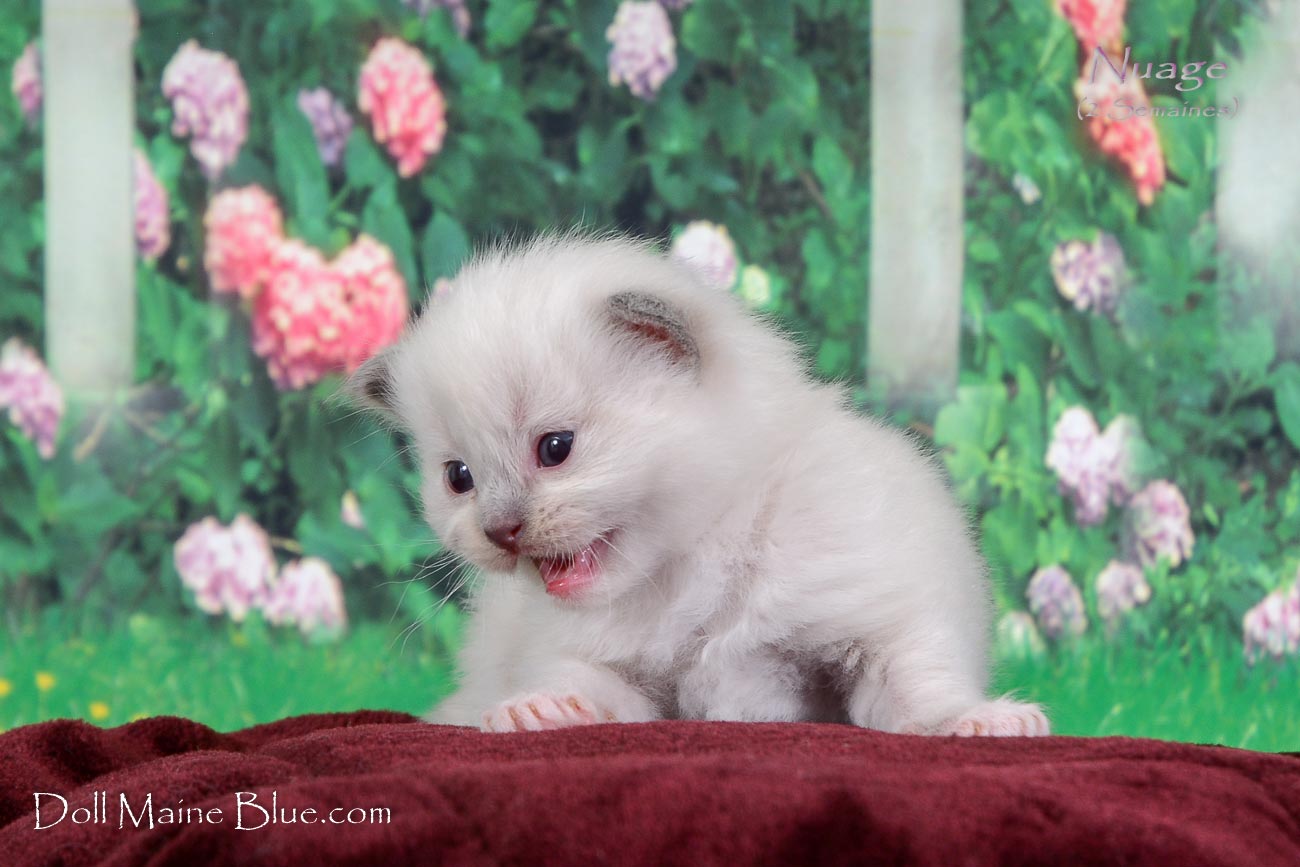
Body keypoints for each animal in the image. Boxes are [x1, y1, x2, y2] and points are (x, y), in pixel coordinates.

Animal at [350, 233, 1049, 737]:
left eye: (555, 449)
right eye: (458, 478)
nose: (500, 531)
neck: (695, 564)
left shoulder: (878, 616)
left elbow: (920, 690)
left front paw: (980, 719)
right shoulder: (608, 671)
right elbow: (594, 691)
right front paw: (541, 710)